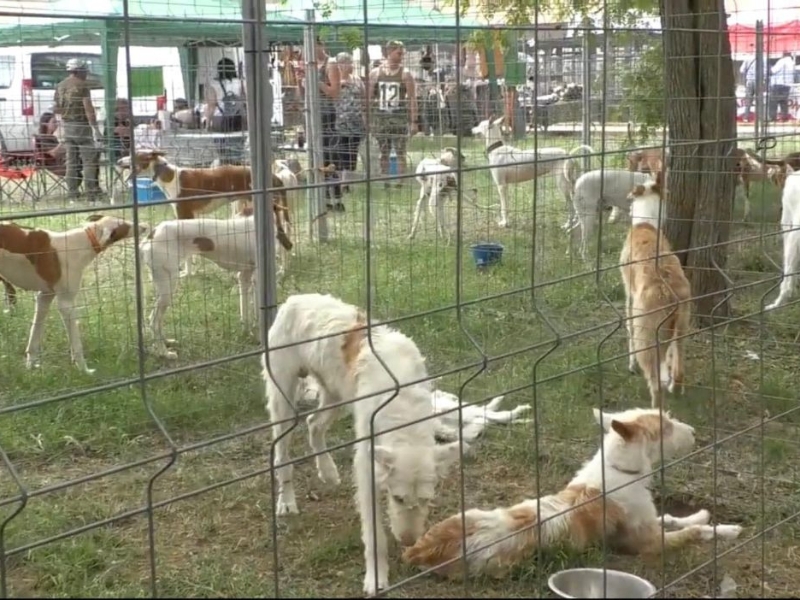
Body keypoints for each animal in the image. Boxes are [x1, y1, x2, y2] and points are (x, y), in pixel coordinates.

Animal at [0, 216, 147, 372]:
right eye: (125, 225)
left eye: (123, 219)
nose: (145, 226)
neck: (83, 240)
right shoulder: (66, 305)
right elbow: (77, 346)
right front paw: (84, 370)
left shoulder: (44, 296)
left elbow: (34, 337)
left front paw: (31, 367)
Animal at [406, 406, 744, 580]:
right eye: (667, 427)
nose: (695, 433)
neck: (618, 470)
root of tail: (423, 549)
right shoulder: (646, 543)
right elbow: (694, 533)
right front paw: (727, 530)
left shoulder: (649, 521)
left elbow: (674, 518)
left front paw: (701, 514)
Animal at [620, 171, 692, 410]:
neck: (646, 222)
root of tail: (671, 294)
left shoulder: (629, 296)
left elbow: (628, 328)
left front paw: (630, 364)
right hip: (682, 327)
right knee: (678, 370)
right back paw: (674, 387)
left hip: (648, 334)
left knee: (655, 383)